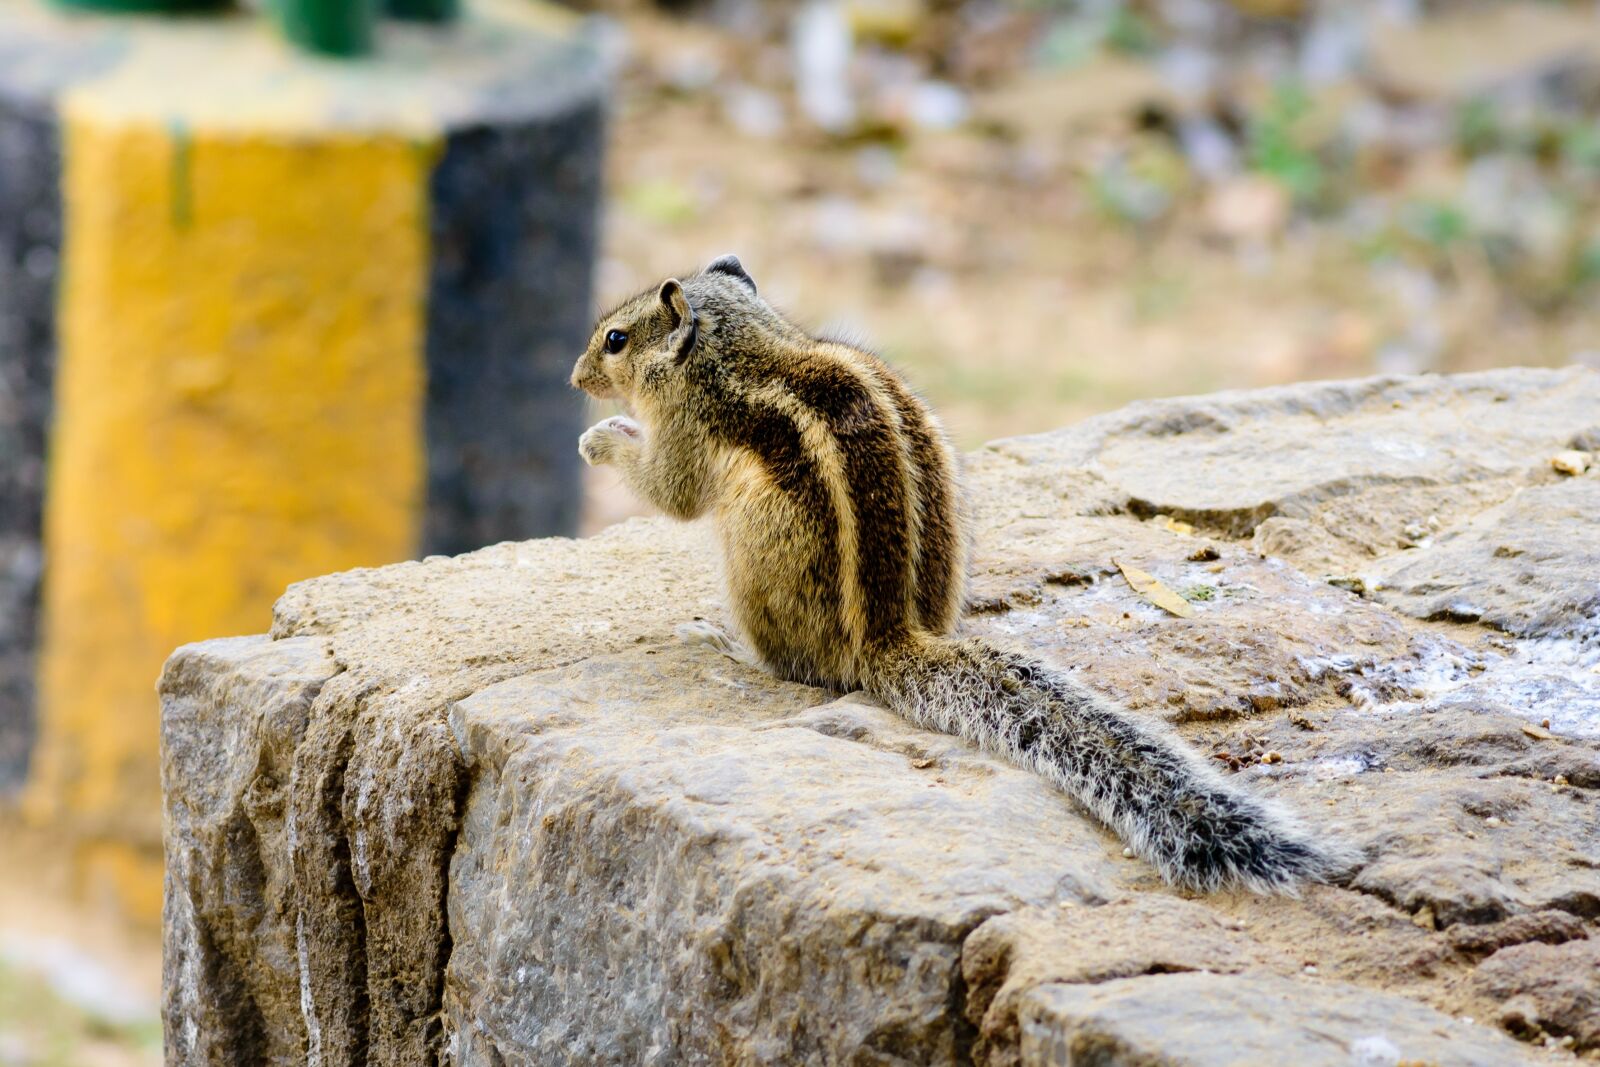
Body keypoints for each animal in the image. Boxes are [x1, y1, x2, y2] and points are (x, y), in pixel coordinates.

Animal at [570, 255, 1347, 893]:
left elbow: (671, 491)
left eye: (615, 340)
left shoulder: (688, 430)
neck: (737, 347)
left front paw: (601, 439)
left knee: (792, 665)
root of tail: (891, 639)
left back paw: (726, 642)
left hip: (755, 563)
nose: (575, 379)